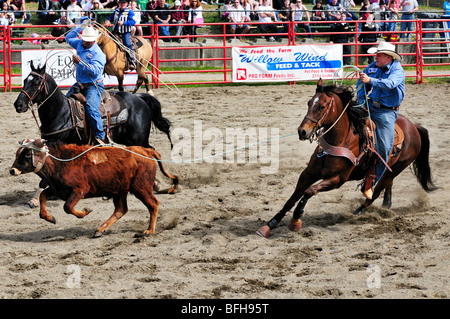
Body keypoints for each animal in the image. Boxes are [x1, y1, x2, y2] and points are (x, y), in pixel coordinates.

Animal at [8, 139, 178, 238]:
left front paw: (85, 212)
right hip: (120, 190)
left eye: (27, 155)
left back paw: (149, 231)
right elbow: (43, 196)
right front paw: (50, 218)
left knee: (153, 204)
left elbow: (67, 207)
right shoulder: (58, 190)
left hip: (140, 188)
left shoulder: (80, 189)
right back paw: (100, 230)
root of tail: (146, 151)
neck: (61, 163)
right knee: (121, 209)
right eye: (17, 154)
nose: (12, 170)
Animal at [12, 62, 173, 206]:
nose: (18, 105)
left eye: (36, 83)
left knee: (151, 152)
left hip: (138, 139)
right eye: (25, 80)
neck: (61, 112)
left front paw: (35, 200)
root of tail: (139, 98)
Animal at [256, 79, 436, 239]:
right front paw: (270, 224)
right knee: (387, 186)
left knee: (375, 193)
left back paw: (356, 213)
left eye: (322, 106)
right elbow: (292, 198)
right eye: (309, 103)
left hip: (397, 168)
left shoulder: (337, 179)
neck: (341, 140)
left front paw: (295, 220)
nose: (302, 131)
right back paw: (386, 207)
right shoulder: (308, 173)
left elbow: (308, 192)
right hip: (389, 169)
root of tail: (414, 127)